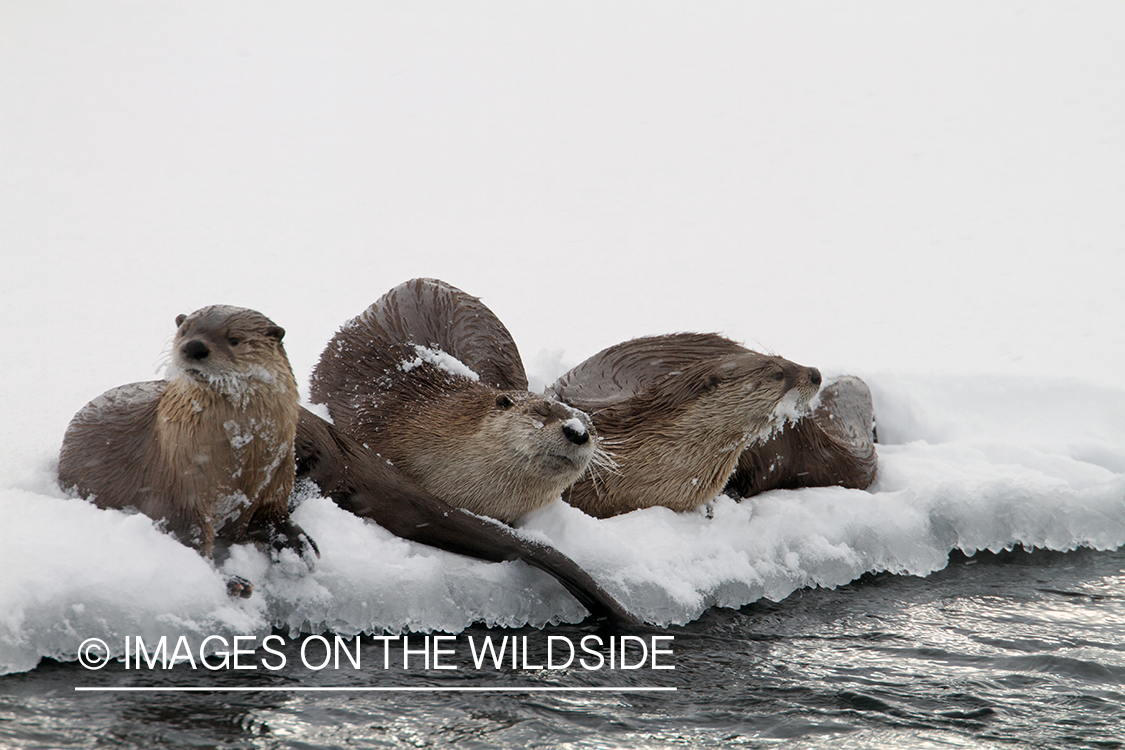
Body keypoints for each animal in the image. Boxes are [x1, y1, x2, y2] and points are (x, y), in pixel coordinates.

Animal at [58, 306, 318, 594]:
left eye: (234, 339)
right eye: (184, 331)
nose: (194, 346)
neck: (243, 462)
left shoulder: (277, 478)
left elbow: (273, 518)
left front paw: (301, 548)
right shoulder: (181, 484)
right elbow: (191, 538)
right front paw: (230, 582)